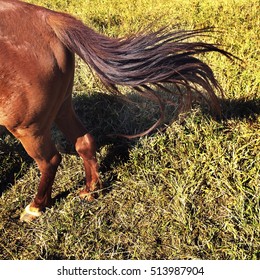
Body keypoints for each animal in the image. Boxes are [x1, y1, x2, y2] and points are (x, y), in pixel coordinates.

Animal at [0, 0, 235, 223]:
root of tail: (47, 17)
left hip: (28, 128)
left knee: (50, 161)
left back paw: (36, 207)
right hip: (62, 107)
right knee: (84, 142)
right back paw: (90, 190)